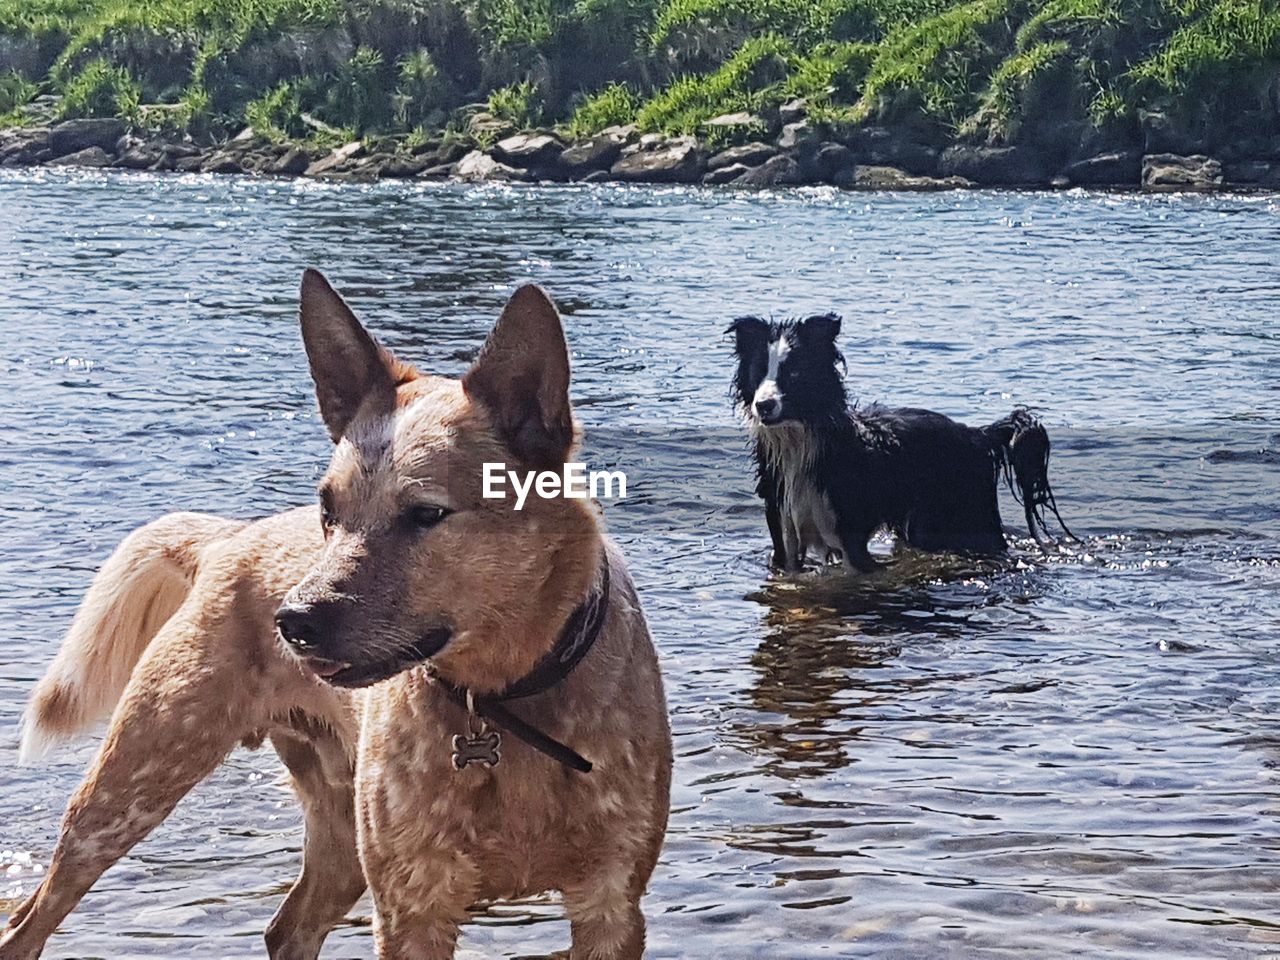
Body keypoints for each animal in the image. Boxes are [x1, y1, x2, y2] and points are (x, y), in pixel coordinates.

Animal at [0, 272, 675, 960]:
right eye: (328, 509)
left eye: (426, 513)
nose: (292, 621)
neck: (500, 701)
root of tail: (228, 537)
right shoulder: (410, 905)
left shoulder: (611, 902)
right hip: (131, 785)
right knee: (28, 923)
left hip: (340, 832)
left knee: (288, 926)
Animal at [732, 313, 1070, 570]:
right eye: (758, 371)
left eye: (795, 373)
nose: (763, 405)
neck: (799, 442)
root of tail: (978, 434)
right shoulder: (783, 531)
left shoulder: (850, 536)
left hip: (970, 518)